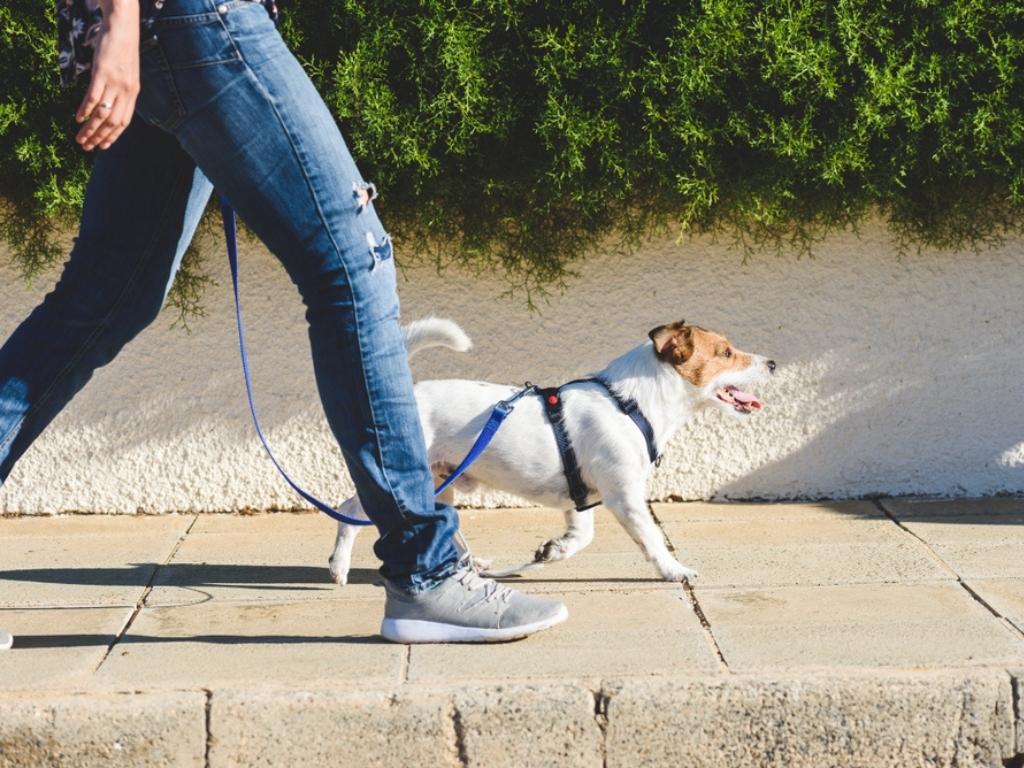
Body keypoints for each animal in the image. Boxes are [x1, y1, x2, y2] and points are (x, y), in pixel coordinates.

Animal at [329, 317, 774, 581]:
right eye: (726, 353)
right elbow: (651, 539)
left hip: (442, 482)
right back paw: (339, 567)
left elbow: (581, 536)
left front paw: (554, 550)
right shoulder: (625, 496)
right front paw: (673, 569)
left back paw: (474, 565)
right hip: (407, 479)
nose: (771, 363)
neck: (631, 403)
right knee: (350, 511)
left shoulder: (582, 498)